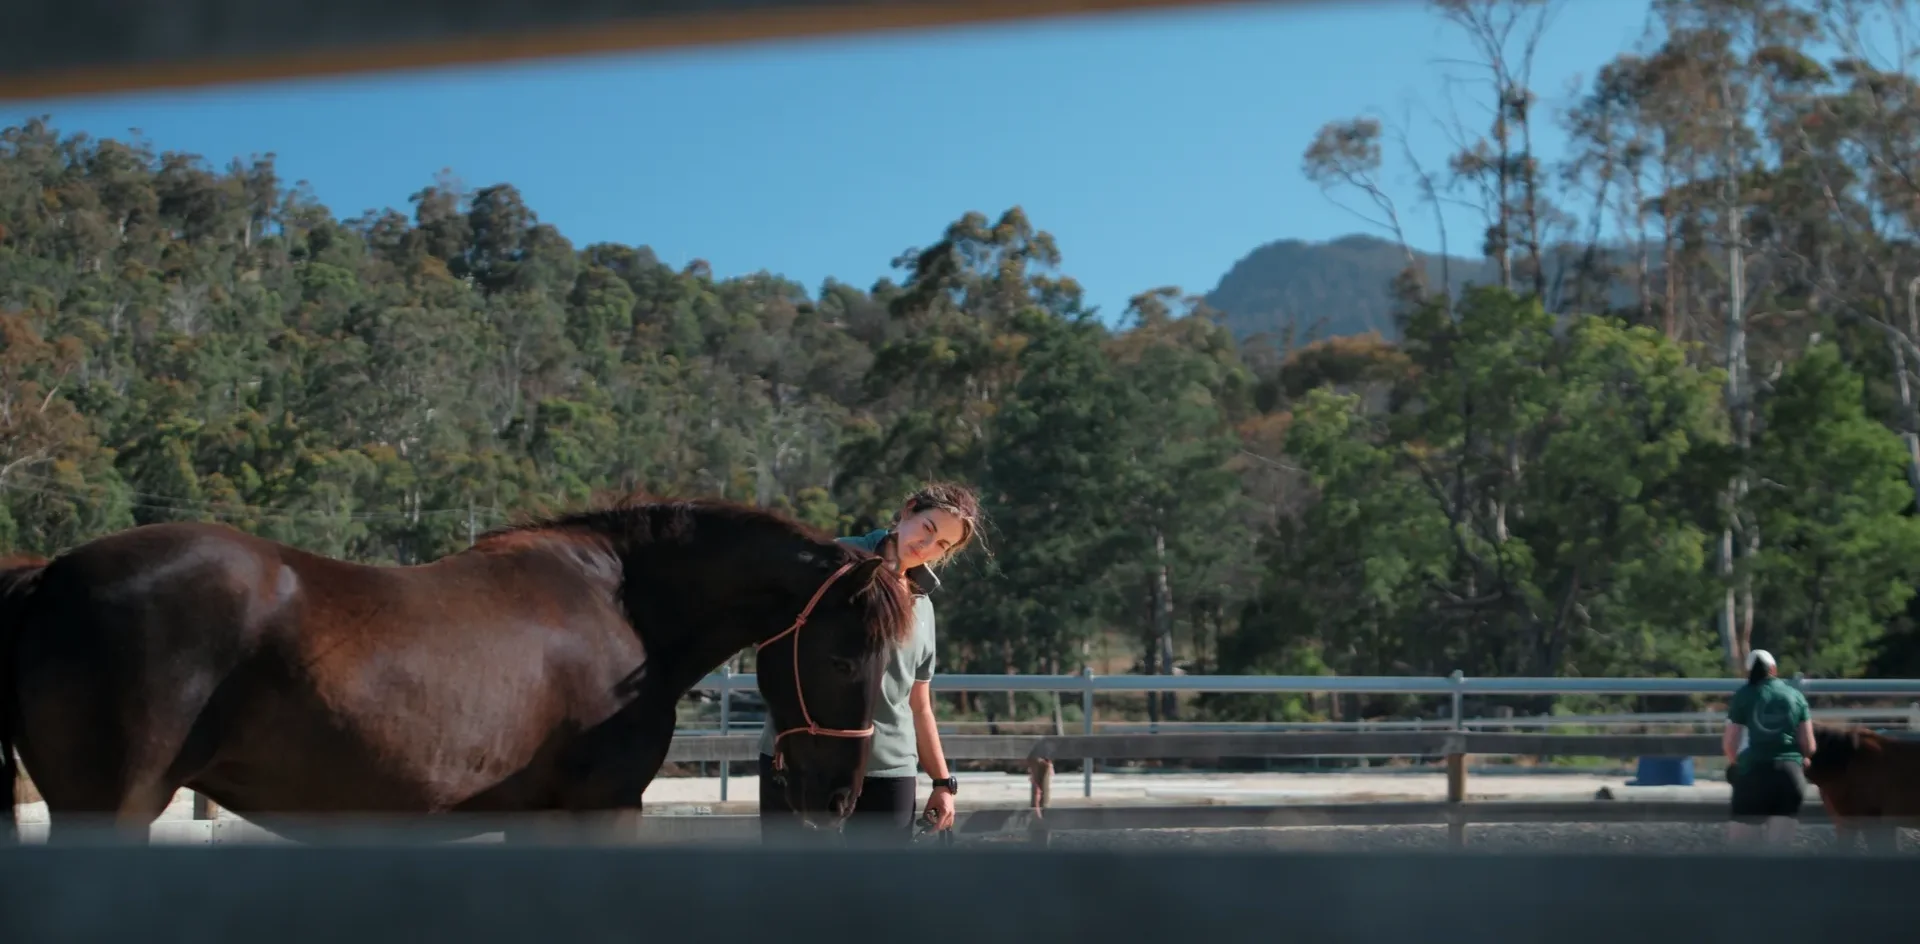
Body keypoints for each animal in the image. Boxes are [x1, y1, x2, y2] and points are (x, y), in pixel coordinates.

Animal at [0, 496, 914, 844]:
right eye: (844, 655)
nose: (839, 798)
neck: (620, 603)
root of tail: (49, 576)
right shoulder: (602, 806)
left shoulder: (537, 814)